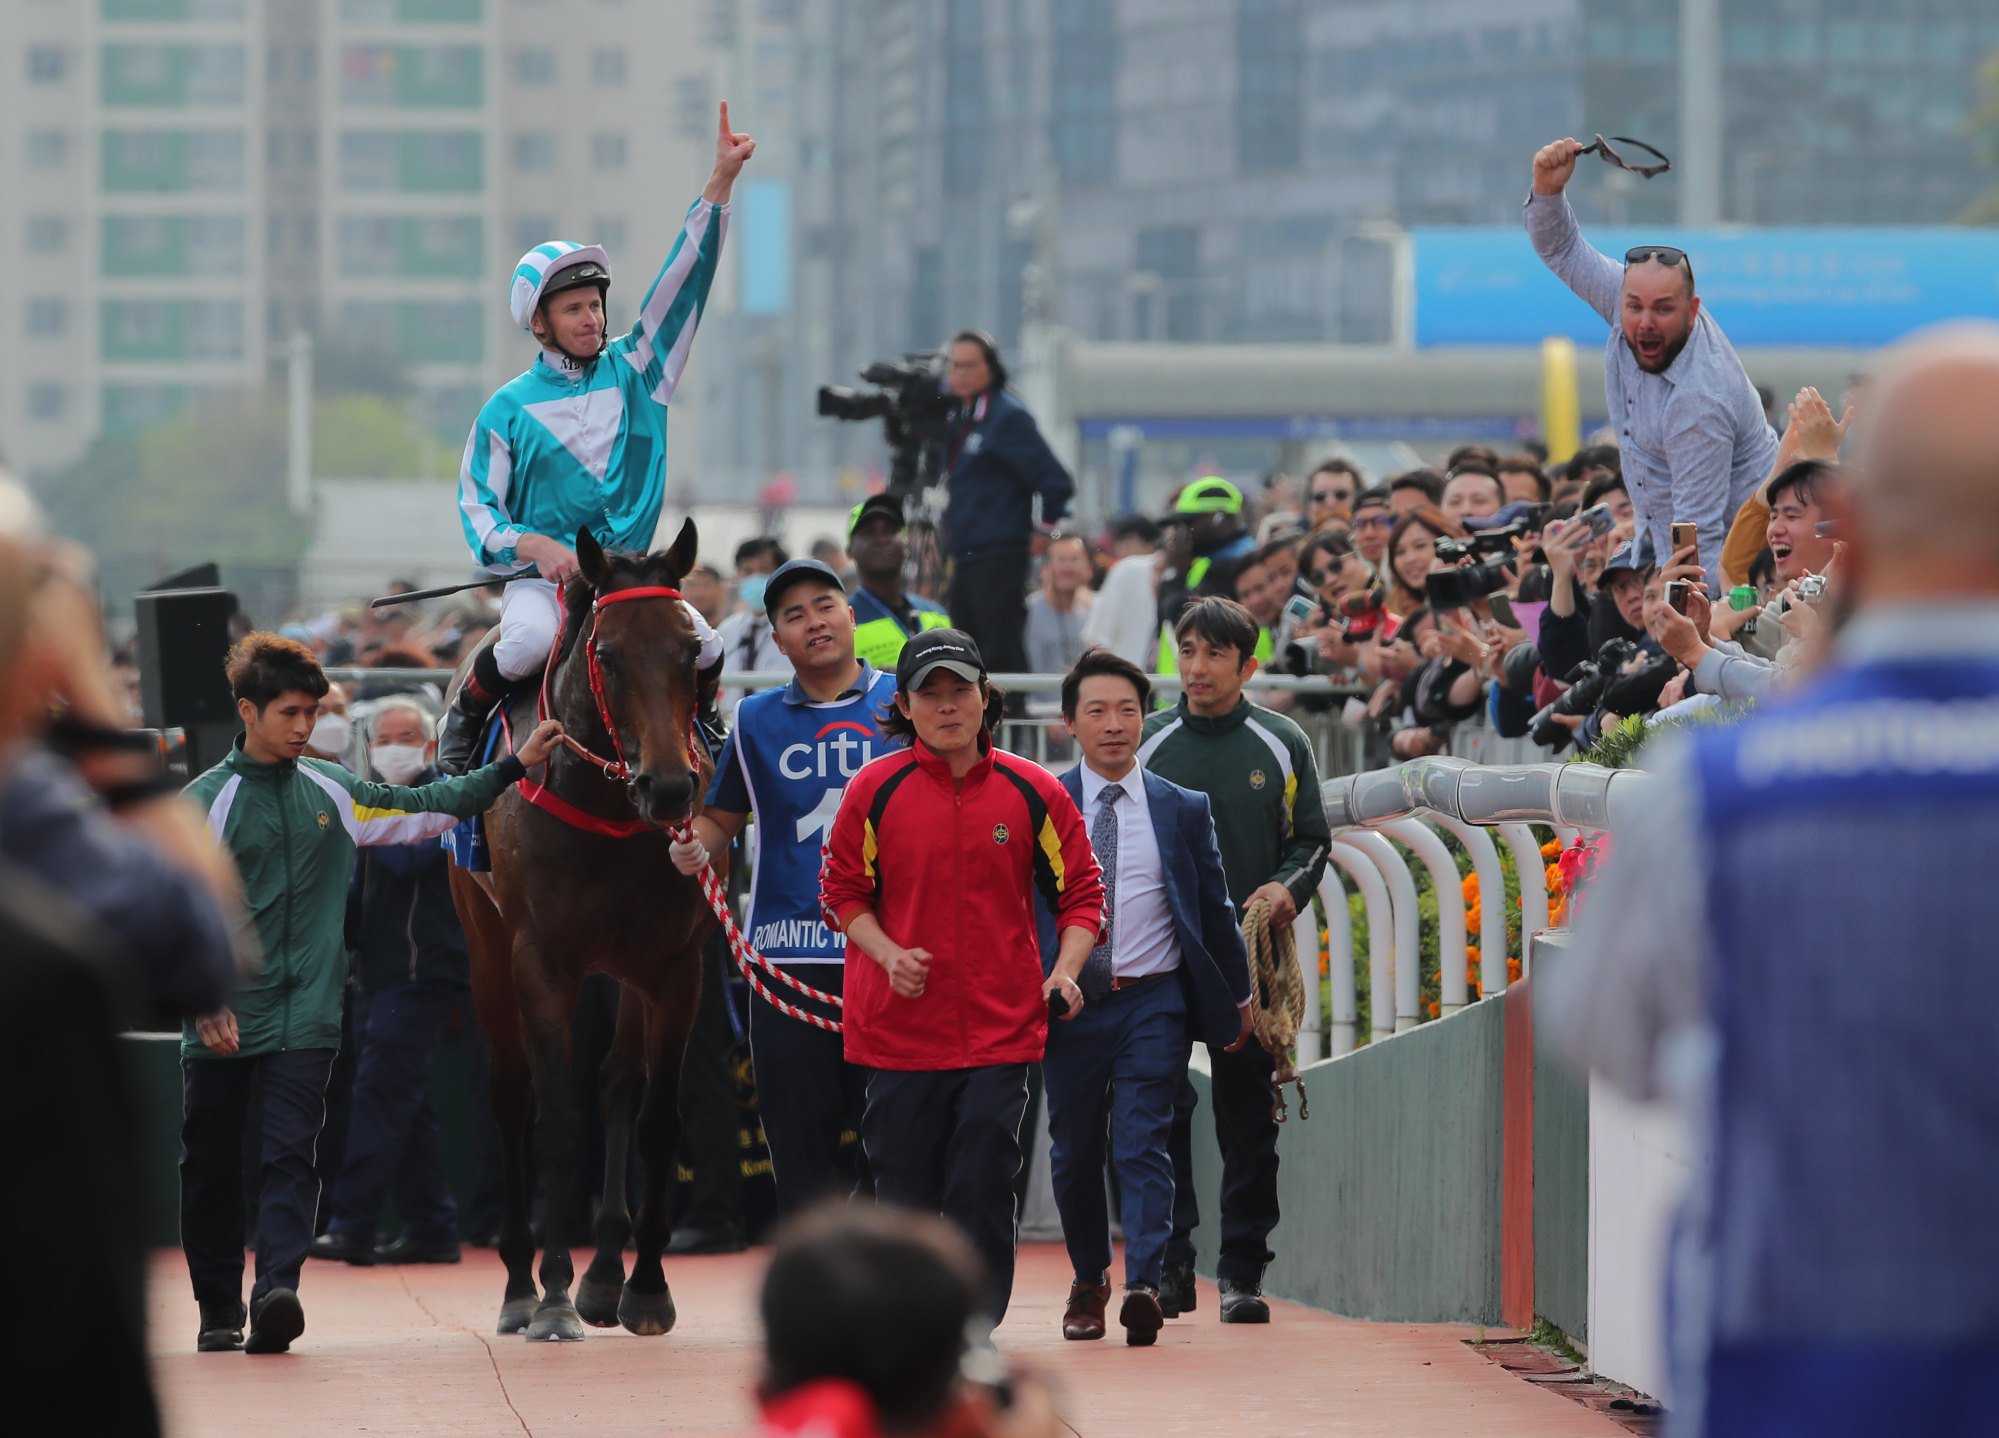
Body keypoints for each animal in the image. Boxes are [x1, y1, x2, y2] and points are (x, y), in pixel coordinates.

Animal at [447, 524, 719, 1344]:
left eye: (689, 652)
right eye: (609, 656)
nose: (670, 789)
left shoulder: (676, 964)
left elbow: (656, 1118)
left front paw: (646, 1288)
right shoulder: (541, 962)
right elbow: (559, 1118)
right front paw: (552, 1296)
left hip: (627, 967)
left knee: (618, 1084)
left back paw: (604, 1278)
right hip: (483, 944)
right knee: (512, 1096)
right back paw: (519, 1284)